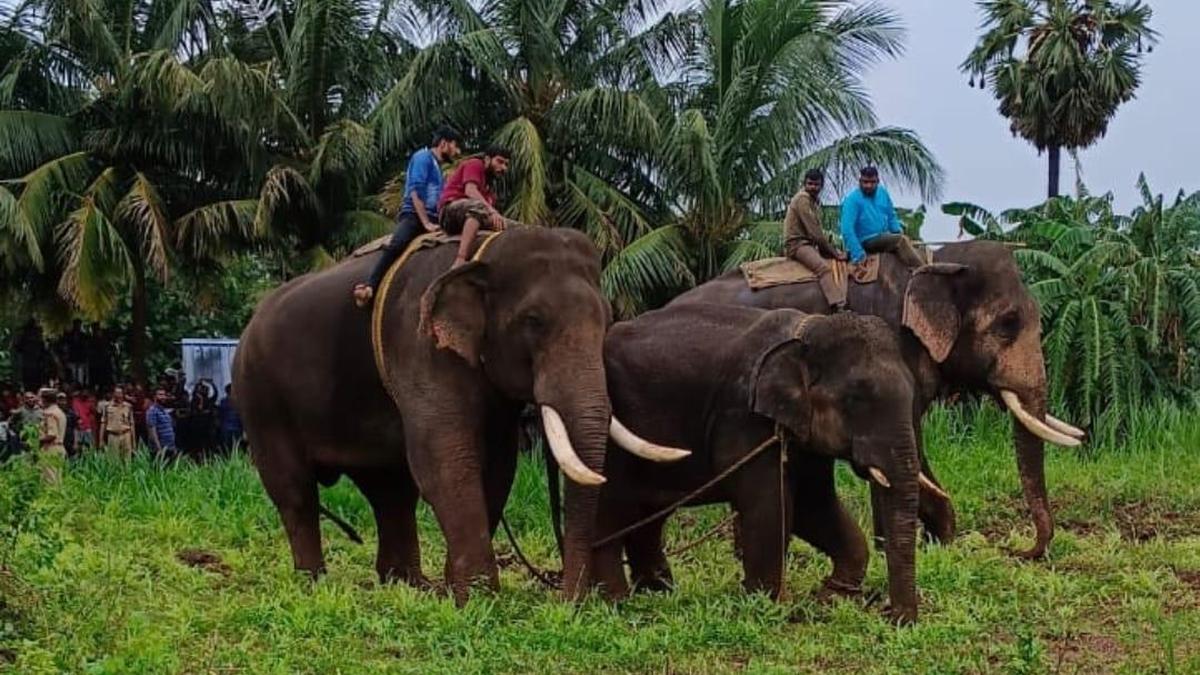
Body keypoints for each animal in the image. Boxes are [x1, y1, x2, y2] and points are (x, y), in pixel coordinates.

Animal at [233, 228, 678, 603]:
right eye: (534, 321)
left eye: (607, 319)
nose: (569, 600)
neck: (484, 249)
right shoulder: (419, 344)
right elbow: (446, 460)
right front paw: (480, 597)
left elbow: (497, 467)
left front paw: (457, 590)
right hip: (259, 398)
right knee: (295, 491)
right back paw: (313, 583)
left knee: (390, 491)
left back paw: (410, 585)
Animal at [594, 303, 926, 622]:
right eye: (856, 400)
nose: (891, 616)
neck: (805, 330)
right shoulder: (745, 419)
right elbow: (771, 506)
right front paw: (771, 606)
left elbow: (813, 505)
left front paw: (831, 599)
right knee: (612, 510)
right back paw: (615, 603)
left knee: (648, 516)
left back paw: (657, 594)